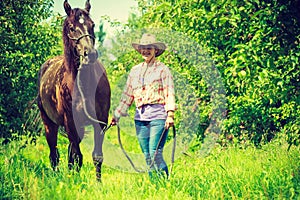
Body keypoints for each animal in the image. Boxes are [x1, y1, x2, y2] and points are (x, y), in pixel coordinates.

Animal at [37, 0, 110, 181]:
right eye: (71, 27)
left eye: (92, 25)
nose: (90, 54)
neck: (83, 85)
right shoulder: (70, 121)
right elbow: (76, 156)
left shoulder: (101, 121)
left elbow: (96, 156)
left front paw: (98, 184)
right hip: (49, 124)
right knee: (54, 154)